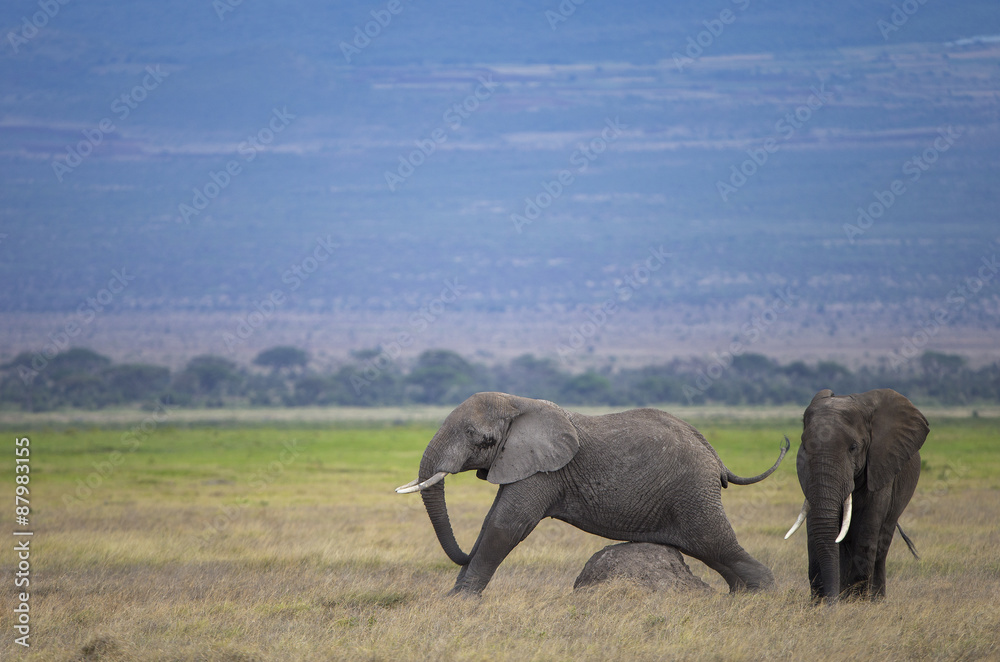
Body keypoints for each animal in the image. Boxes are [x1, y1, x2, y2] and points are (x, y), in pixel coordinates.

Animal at [396, 392, 789, 595]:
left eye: (482, 440)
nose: (463, 553)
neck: (518, 402)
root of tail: (715, 456)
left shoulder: (544, 470)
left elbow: (507, 525)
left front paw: (459, 599)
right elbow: (494, 518)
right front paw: (456, 595)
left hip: (693, 492)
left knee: (716, 541)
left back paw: (760, 593)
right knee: (712, 550)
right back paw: (743, 594)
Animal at [784, 388, 928, 603]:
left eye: (853, 448)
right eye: (804, 447)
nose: (831, 602)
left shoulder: (881, 464)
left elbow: (867, 527)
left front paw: (856, 602)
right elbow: (815, 527)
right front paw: (820, 603)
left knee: (882, 540)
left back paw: (875, 599)